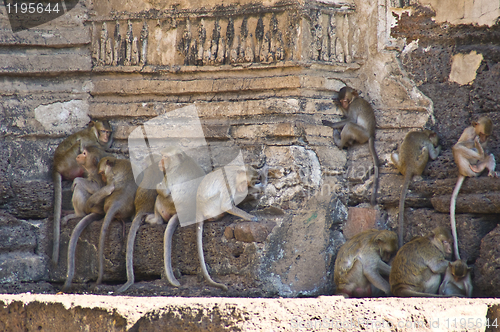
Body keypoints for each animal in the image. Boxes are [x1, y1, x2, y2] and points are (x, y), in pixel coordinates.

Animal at [52, 120, 113, 266]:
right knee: (78, 144)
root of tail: (56, 166)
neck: (94, 134)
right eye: (103, 131)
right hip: (69, 160)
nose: (106, 136)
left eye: (108, 132)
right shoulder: (89, 142)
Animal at [62, 157, 137, 292]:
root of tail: (118, 202)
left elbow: (101, 187)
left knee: (85, 190)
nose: (103, 178)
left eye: (102, 173)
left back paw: (78, 213)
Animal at [450, 116, 496, 260]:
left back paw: (489, 169)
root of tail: (463, 171)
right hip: (464, 167)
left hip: (480, 166)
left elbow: (487, 149)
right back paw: (478, 154)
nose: (482, 139)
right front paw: (476, 144)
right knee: (458, 148)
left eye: (487, 135)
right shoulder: (469, 132)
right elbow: (461, 144)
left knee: (488, 156)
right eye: (481, 134)